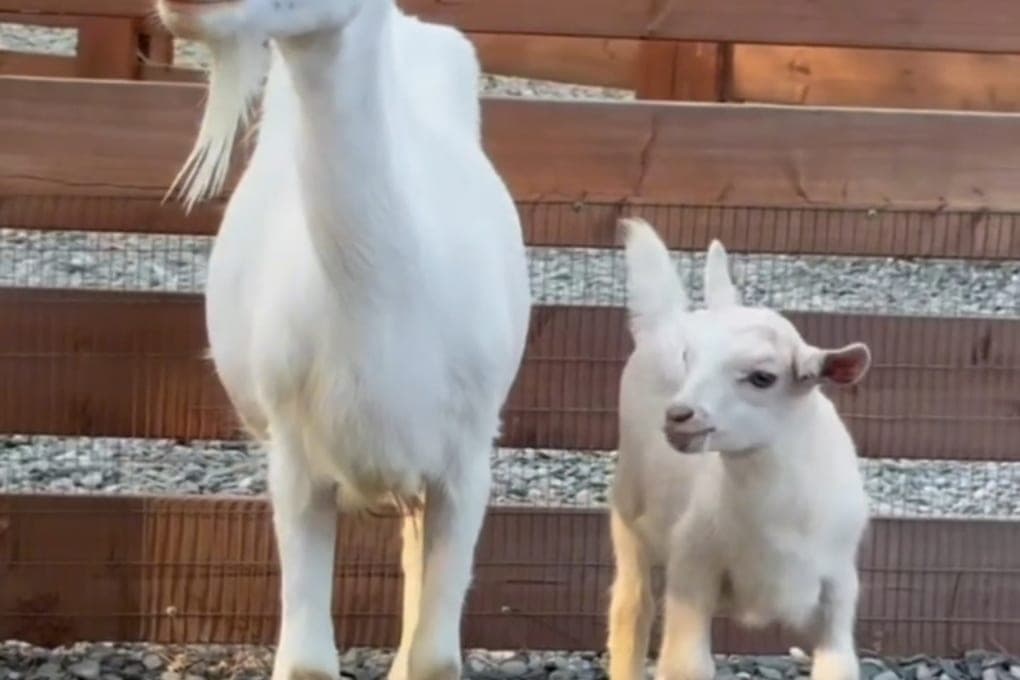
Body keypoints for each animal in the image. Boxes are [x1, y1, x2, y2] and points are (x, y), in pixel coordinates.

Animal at [607, 218, 870, 680]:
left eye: (763, 377)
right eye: (689, 360)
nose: (678, 416)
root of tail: (666, 319)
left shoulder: (839, 586)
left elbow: (838, 663)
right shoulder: (691, 566)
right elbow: (686, 666)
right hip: (629, 515)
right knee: (632, 608)